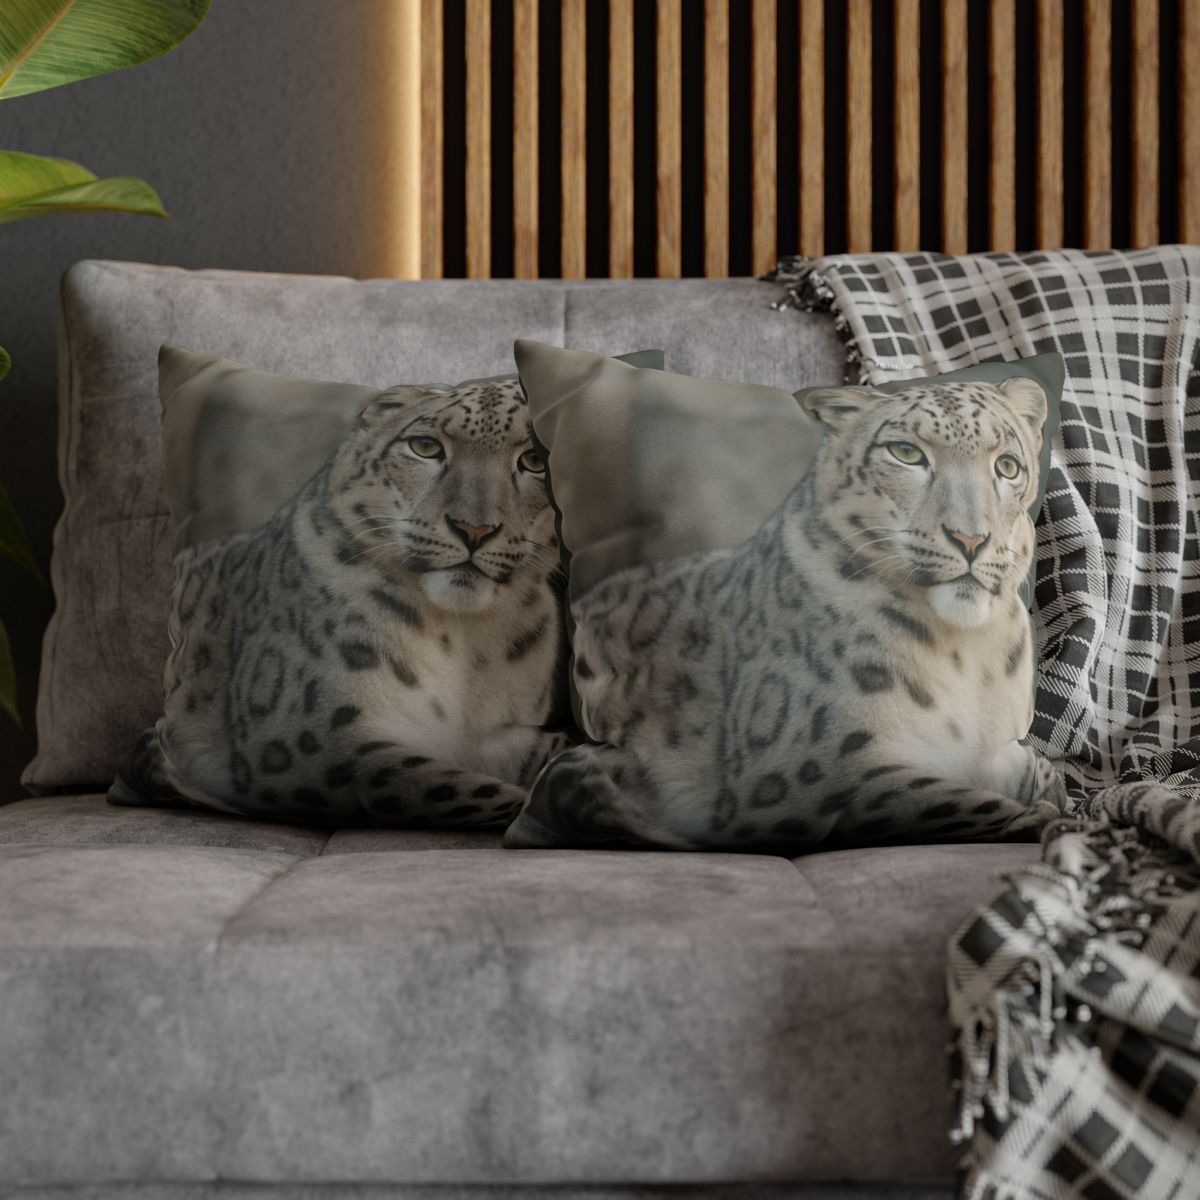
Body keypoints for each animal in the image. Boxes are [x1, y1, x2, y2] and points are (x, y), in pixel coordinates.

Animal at [110, 376, 570, 828]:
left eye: (534, 459)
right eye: (425, 446)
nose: (473, 529)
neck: (467, 641)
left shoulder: (496, 734)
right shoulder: (311, 737)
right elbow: (453, 788)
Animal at [502, 375, 1068, 850]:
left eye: (1008, 466)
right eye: (906, 452)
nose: (971, 539)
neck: (966, 653)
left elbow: (1036, 774)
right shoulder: (817, 769)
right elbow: (950, 798)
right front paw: (1039, 818)